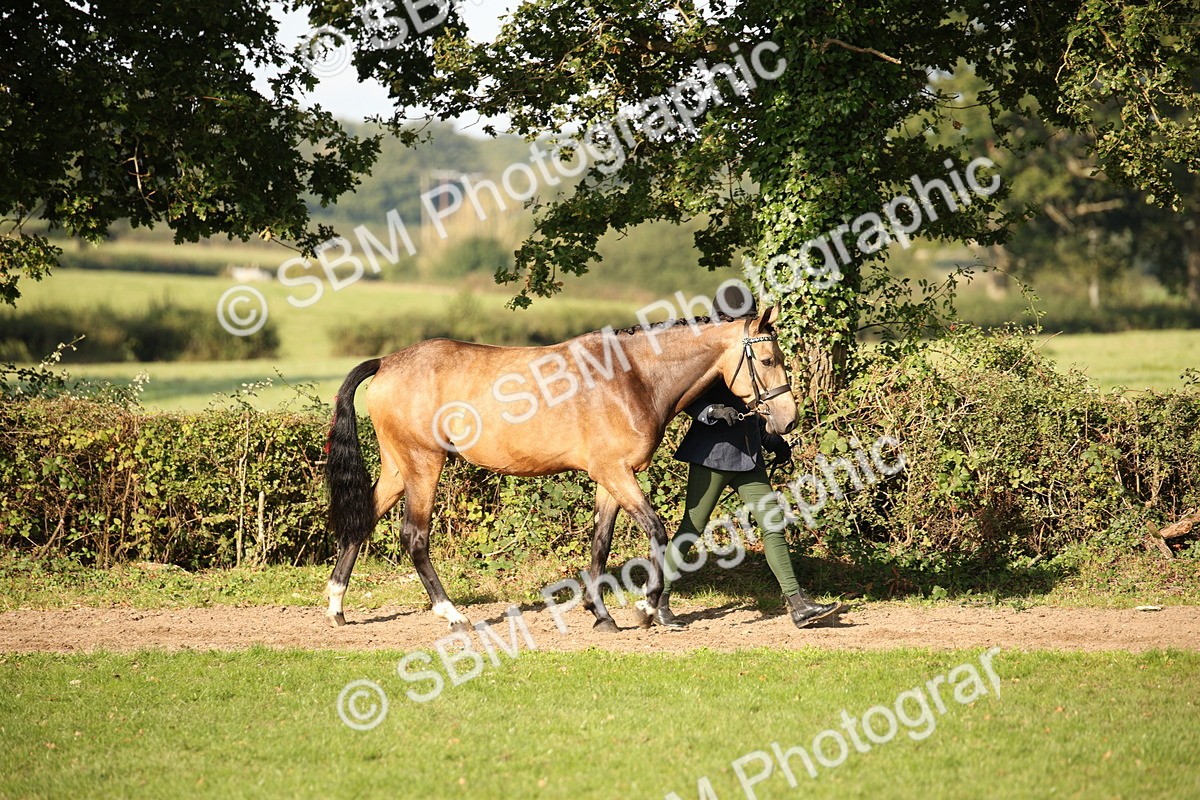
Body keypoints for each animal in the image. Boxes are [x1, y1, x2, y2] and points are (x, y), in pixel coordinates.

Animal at [323, 302, 799, 632]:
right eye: (768, 360)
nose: (789, 420)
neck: (632, 378)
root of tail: (387, 362)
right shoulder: (616, 474)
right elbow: (657, 532)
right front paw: (646, 609)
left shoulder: (610, 479)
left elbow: (600, 544)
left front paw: (601, 615)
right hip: (424, 465)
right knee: (414, 537)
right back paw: (453, 615)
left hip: (398, 469)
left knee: (363, 521)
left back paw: (336, 606)